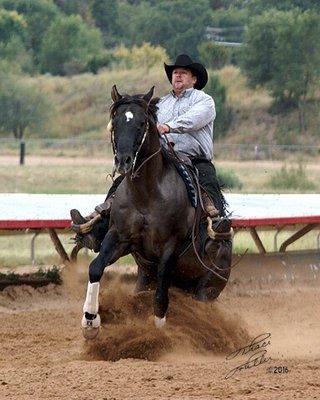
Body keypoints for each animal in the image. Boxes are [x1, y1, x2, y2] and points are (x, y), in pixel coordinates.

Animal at [81, 86, 231, 340]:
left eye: (142, 123)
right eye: (115, 121)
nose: (124, 161)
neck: (147, 194)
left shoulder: (170, 247)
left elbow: (161, 292)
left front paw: (159, 333)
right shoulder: (119, 237)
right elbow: (96, 268)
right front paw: (90, 320)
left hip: (208, 289)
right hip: (145, 278)